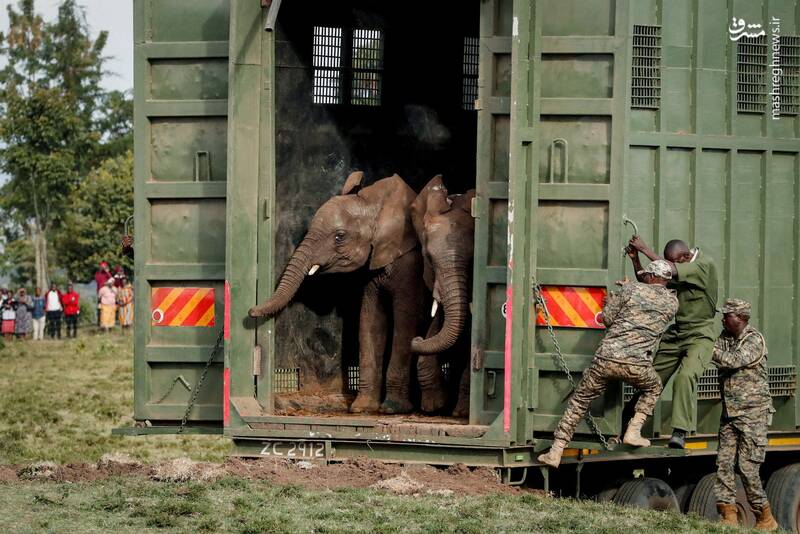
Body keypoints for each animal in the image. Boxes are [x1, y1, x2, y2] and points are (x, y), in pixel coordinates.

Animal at [248, 174, 424, 416]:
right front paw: (362, 408)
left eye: (339, 236)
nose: (250, 311)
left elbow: (404, 322)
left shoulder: (410, 264)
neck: (376, 204)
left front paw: (392, 408)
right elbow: (370, 322)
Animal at [410, 177, 472, 418]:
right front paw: (433, 407)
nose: (415, 338)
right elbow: (440, 322)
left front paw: (461, 412)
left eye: (474, 259)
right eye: (428, 258)